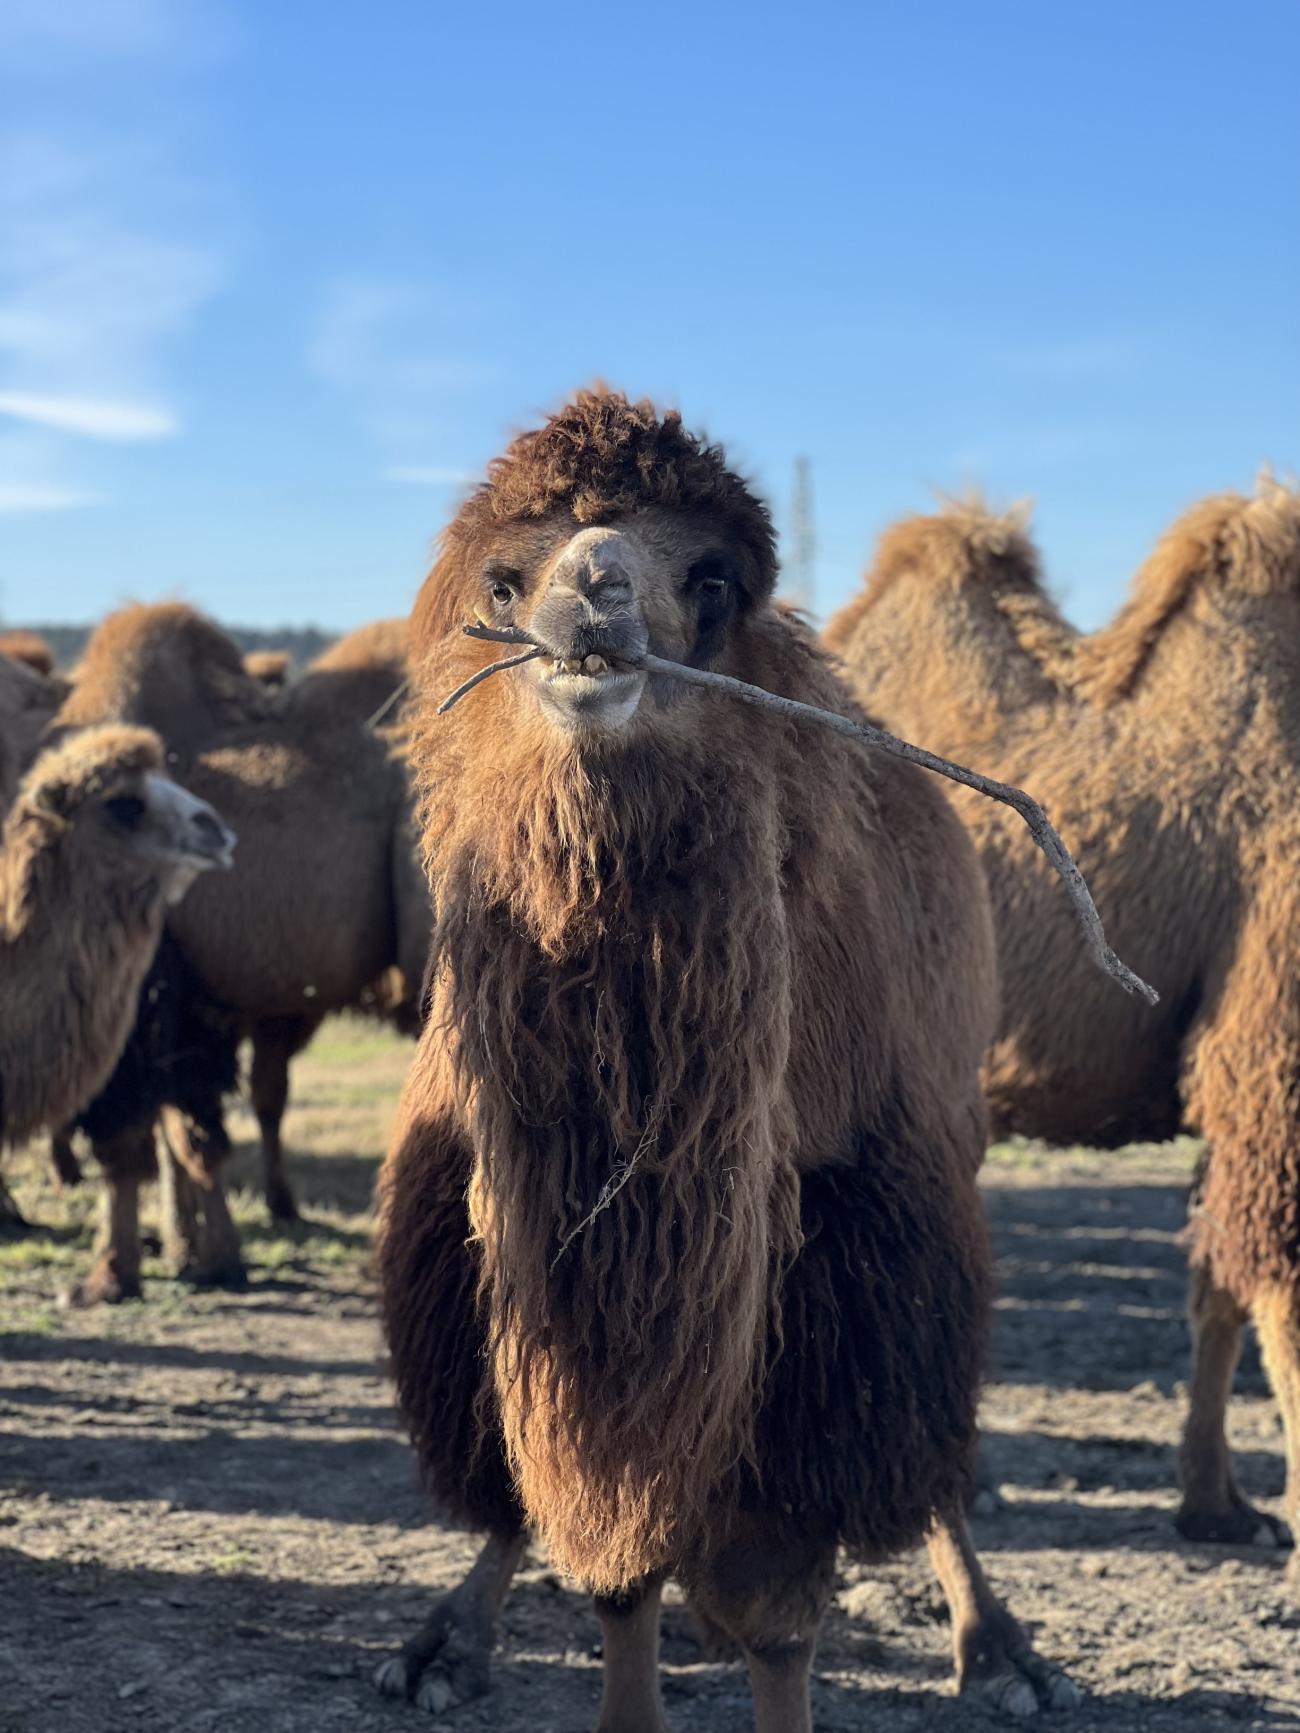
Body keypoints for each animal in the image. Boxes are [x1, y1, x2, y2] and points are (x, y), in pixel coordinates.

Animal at [49, 603, 428, 1296]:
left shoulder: (144, 1003)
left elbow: (141, 1138)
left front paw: (114, 1273)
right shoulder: (195, 1006)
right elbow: (187, 1133)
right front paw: (192, 1255)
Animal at [369, 396, 1081, 1733]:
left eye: (708, 578)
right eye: (504, 579)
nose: (592, 592)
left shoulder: (837, 1279)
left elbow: (780, 1608)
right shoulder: (535, 1289)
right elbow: (615, 1573)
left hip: (936, 1165)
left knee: (936, 1457)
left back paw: (1003, 1650)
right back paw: (445, 1639)